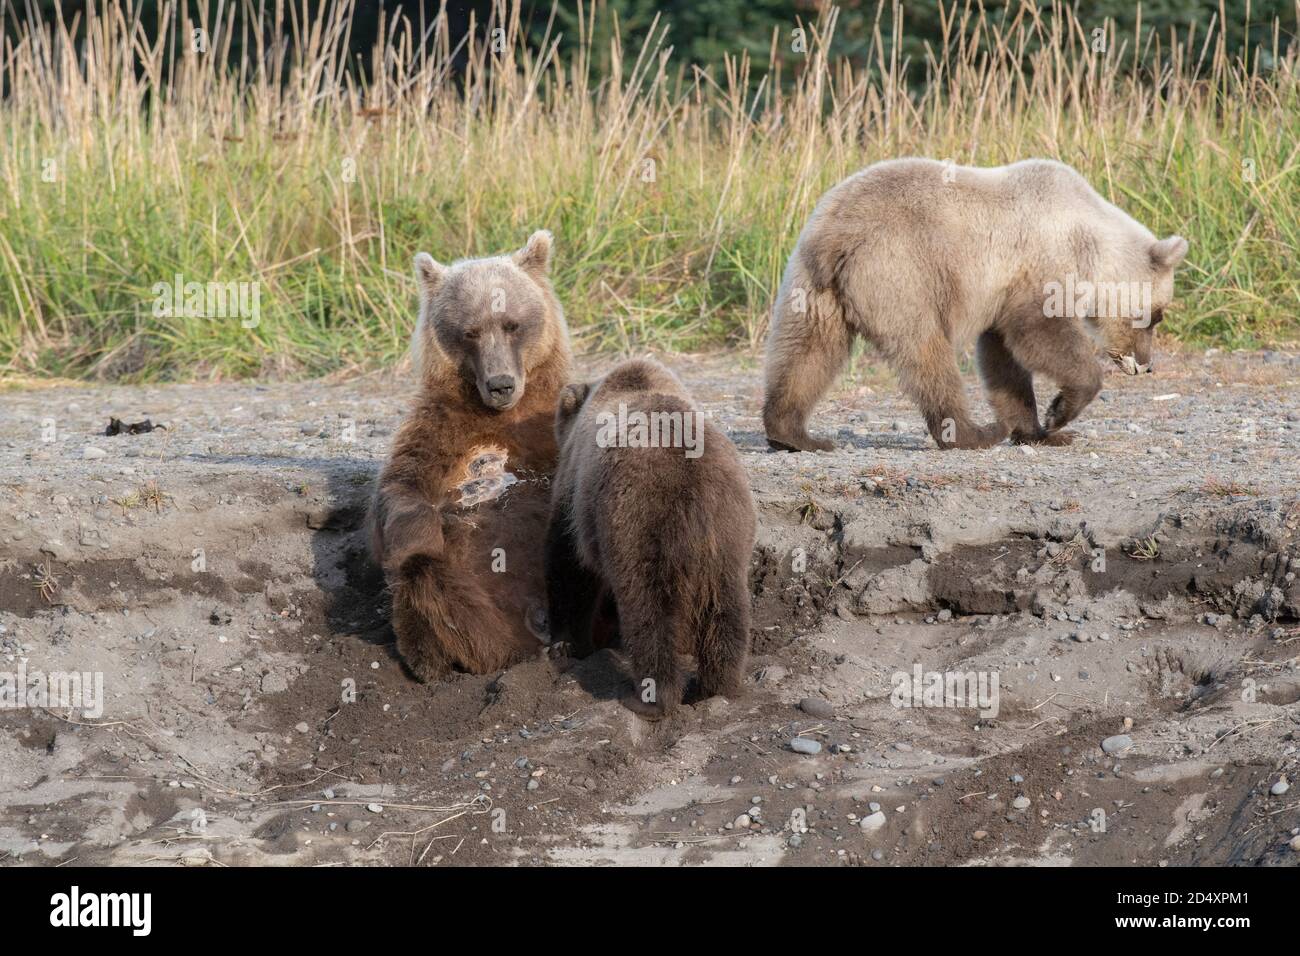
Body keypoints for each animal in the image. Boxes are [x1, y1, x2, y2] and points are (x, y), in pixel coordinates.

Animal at [366, 231, 569, 681]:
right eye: (470, 332)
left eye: (512, 323)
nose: (500, 383)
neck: (503, 416)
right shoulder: (439, 428)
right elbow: (403, 489)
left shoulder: (551, 426)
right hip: (475, 608)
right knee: (426, 586)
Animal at [543, 356, 759, 717]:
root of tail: (695, 485)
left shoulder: (576, 493)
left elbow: (568, 562)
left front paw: (567, 644)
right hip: (730, 530)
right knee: (727, 606)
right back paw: (717, 687)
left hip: (638, 521)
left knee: (648, 608)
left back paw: (650, 698)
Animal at [759, 158, 1190, 452]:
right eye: (1156, 316)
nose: (1145, 365)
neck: (1088, 243)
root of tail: (839, 235)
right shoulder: (1038, 264)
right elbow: (1041, 334)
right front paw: (1058, 414)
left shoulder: (1002, 293)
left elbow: (1003, 360)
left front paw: (1038, 431)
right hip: (903, 271)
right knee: (926, 354)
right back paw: (971, 433)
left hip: (812, 285)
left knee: (808, 352)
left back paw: (794, 434)